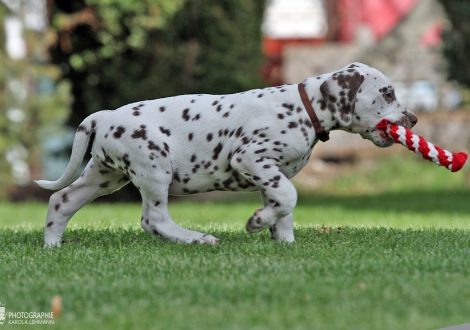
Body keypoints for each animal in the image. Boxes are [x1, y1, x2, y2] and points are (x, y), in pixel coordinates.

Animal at [37, 63, 418, 246]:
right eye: (387, 93)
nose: (413, 119)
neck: (303, 108)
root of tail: (103, 116)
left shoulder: (271, 174)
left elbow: (284, 209)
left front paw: (284, 241)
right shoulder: (252, 159)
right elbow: (289, 198)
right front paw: (257, 223)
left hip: (104, 176)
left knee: (61, 200)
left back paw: (53, 245)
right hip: (154, 167)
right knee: (154, 219)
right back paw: (197, 239)